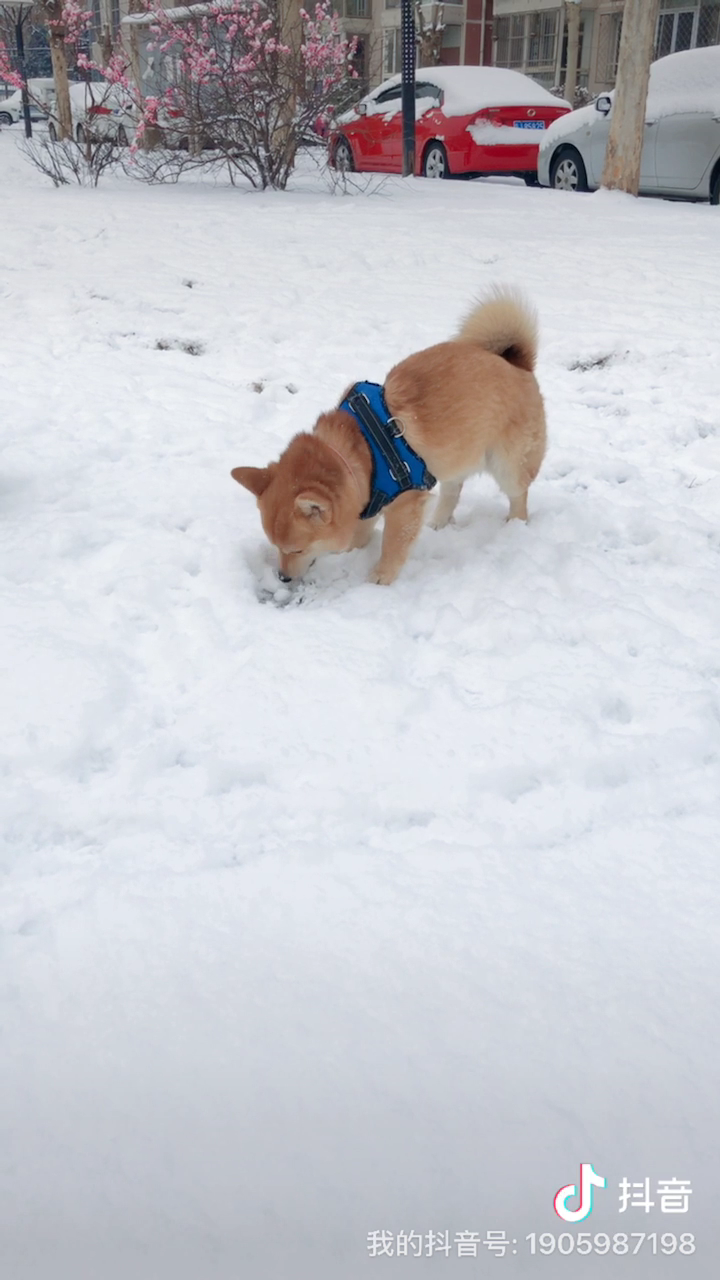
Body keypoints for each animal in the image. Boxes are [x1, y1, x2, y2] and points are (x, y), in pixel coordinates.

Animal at [229, 289, 543, 586]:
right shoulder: (367, 501)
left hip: (507, 466)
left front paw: (380, 577)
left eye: (296, 550)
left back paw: (514, 525)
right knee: (453, 490)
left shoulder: (404, 505)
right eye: (275, 546)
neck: (363, 450)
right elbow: (360, 532)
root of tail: (517, 363)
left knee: (518, 495)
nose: (283, 578)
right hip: (456, 453)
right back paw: (439, 522)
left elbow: (393, 545)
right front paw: (353, 553)